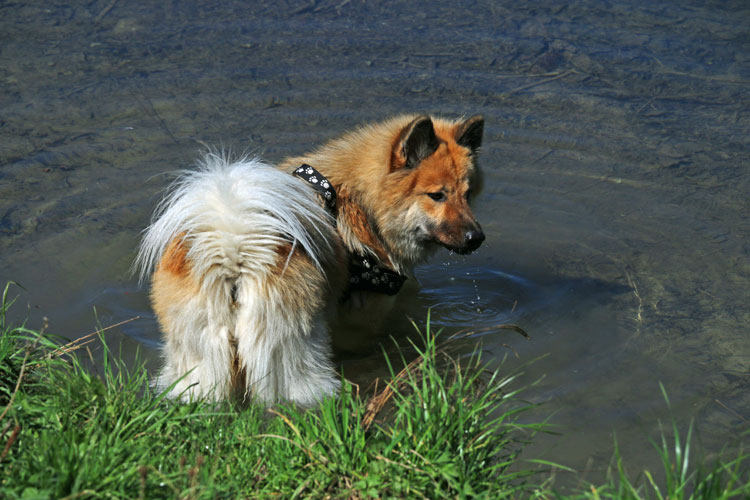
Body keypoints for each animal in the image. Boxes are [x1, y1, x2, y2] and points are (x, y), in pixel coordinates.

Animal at [137, 114, 488, 406]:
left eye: (468, 194)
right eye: (437, 195)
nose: (477, 238)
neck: (360, 203)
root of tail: (235, 252)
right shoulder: (361, 321)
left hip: (200, 364)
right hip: (293, 358)